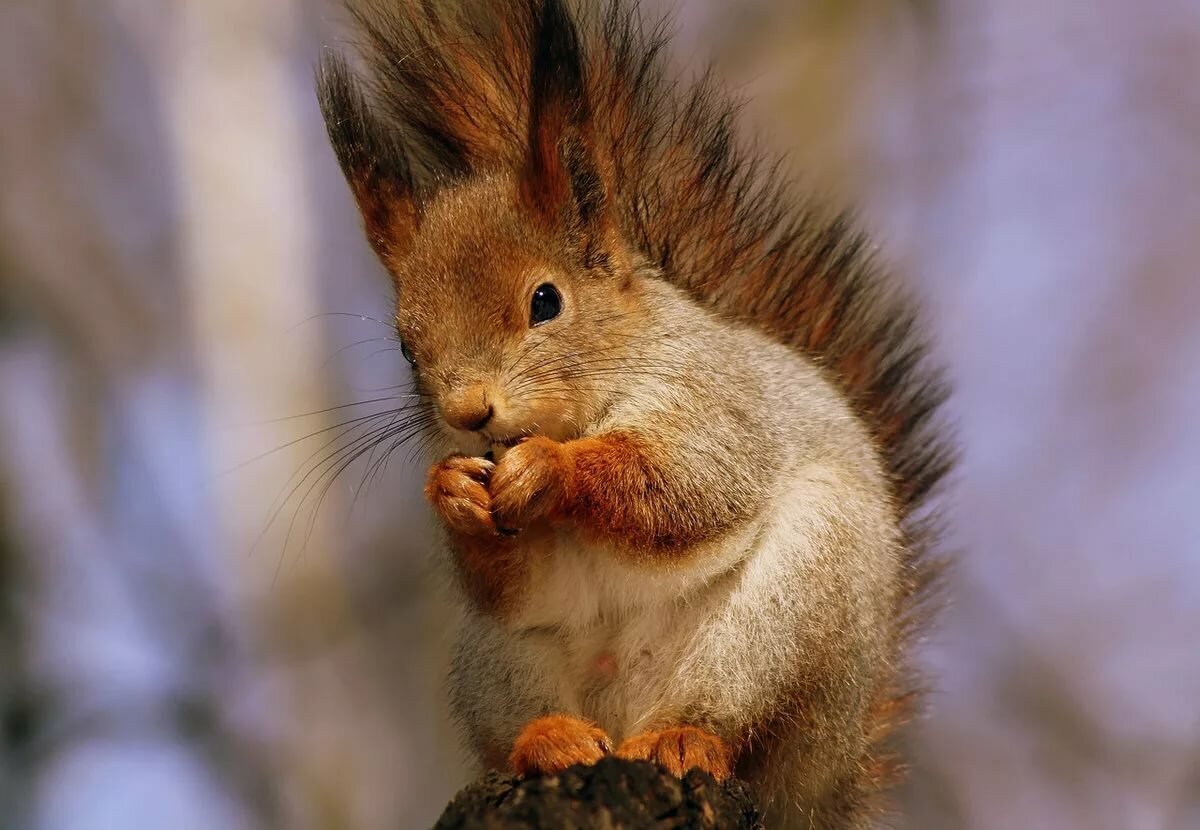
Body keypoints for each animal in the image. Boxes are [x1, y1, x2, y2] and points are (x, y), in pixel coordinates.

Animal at [314, 3, 950, 825]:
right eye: (402, 342)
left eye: (545, 301)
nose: (467, 413)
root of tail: (827, 785)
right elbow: (513, 584)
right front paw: (451, 491)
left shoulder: (716, 401)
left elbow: (687, 489)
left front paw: (551, 469)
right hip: (497, 659)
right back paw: (551, 739)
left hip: (795, 613)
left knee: (731, 719)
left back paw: (685, 739)